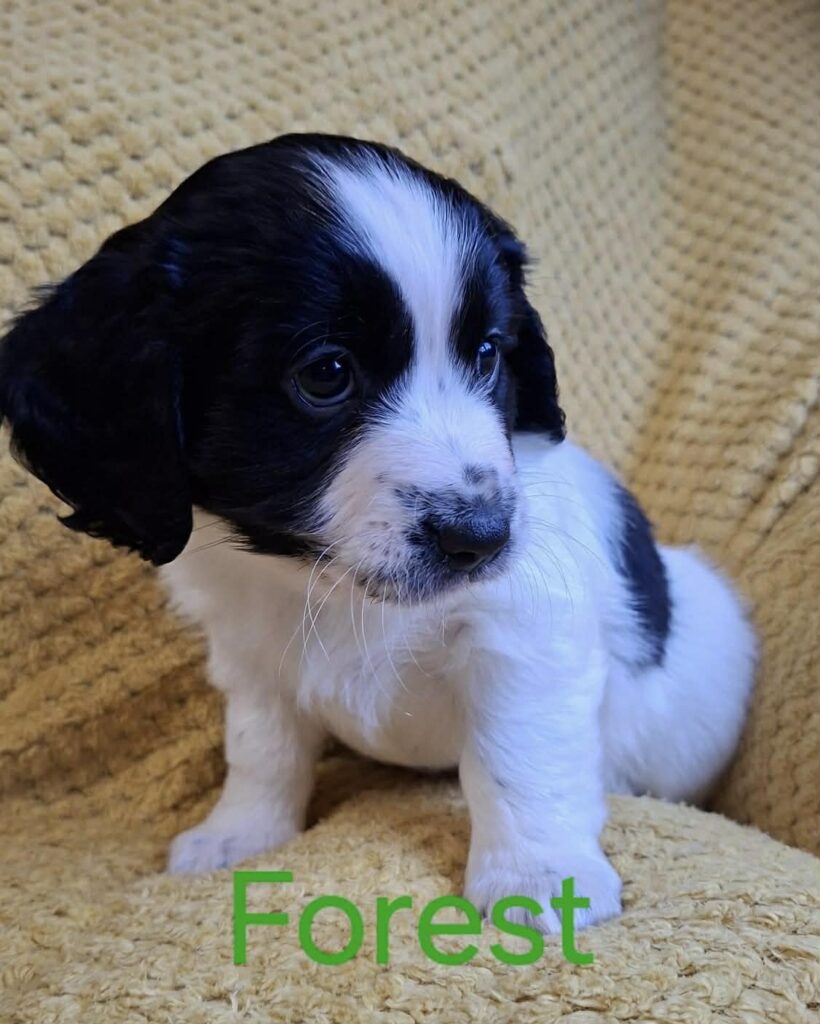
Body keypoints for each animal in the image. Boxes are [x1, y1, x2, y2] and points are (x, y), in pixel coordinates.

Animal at [0, 134, 757, 932]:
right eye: (326, 373)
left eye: (487, 353)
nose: (483, 536)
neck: (329, 587)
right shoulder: (250, 654)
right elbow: (262, 746)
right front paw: (243, 834)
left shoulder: (522, 636)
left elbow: (519, 756)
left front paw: (539, 875)